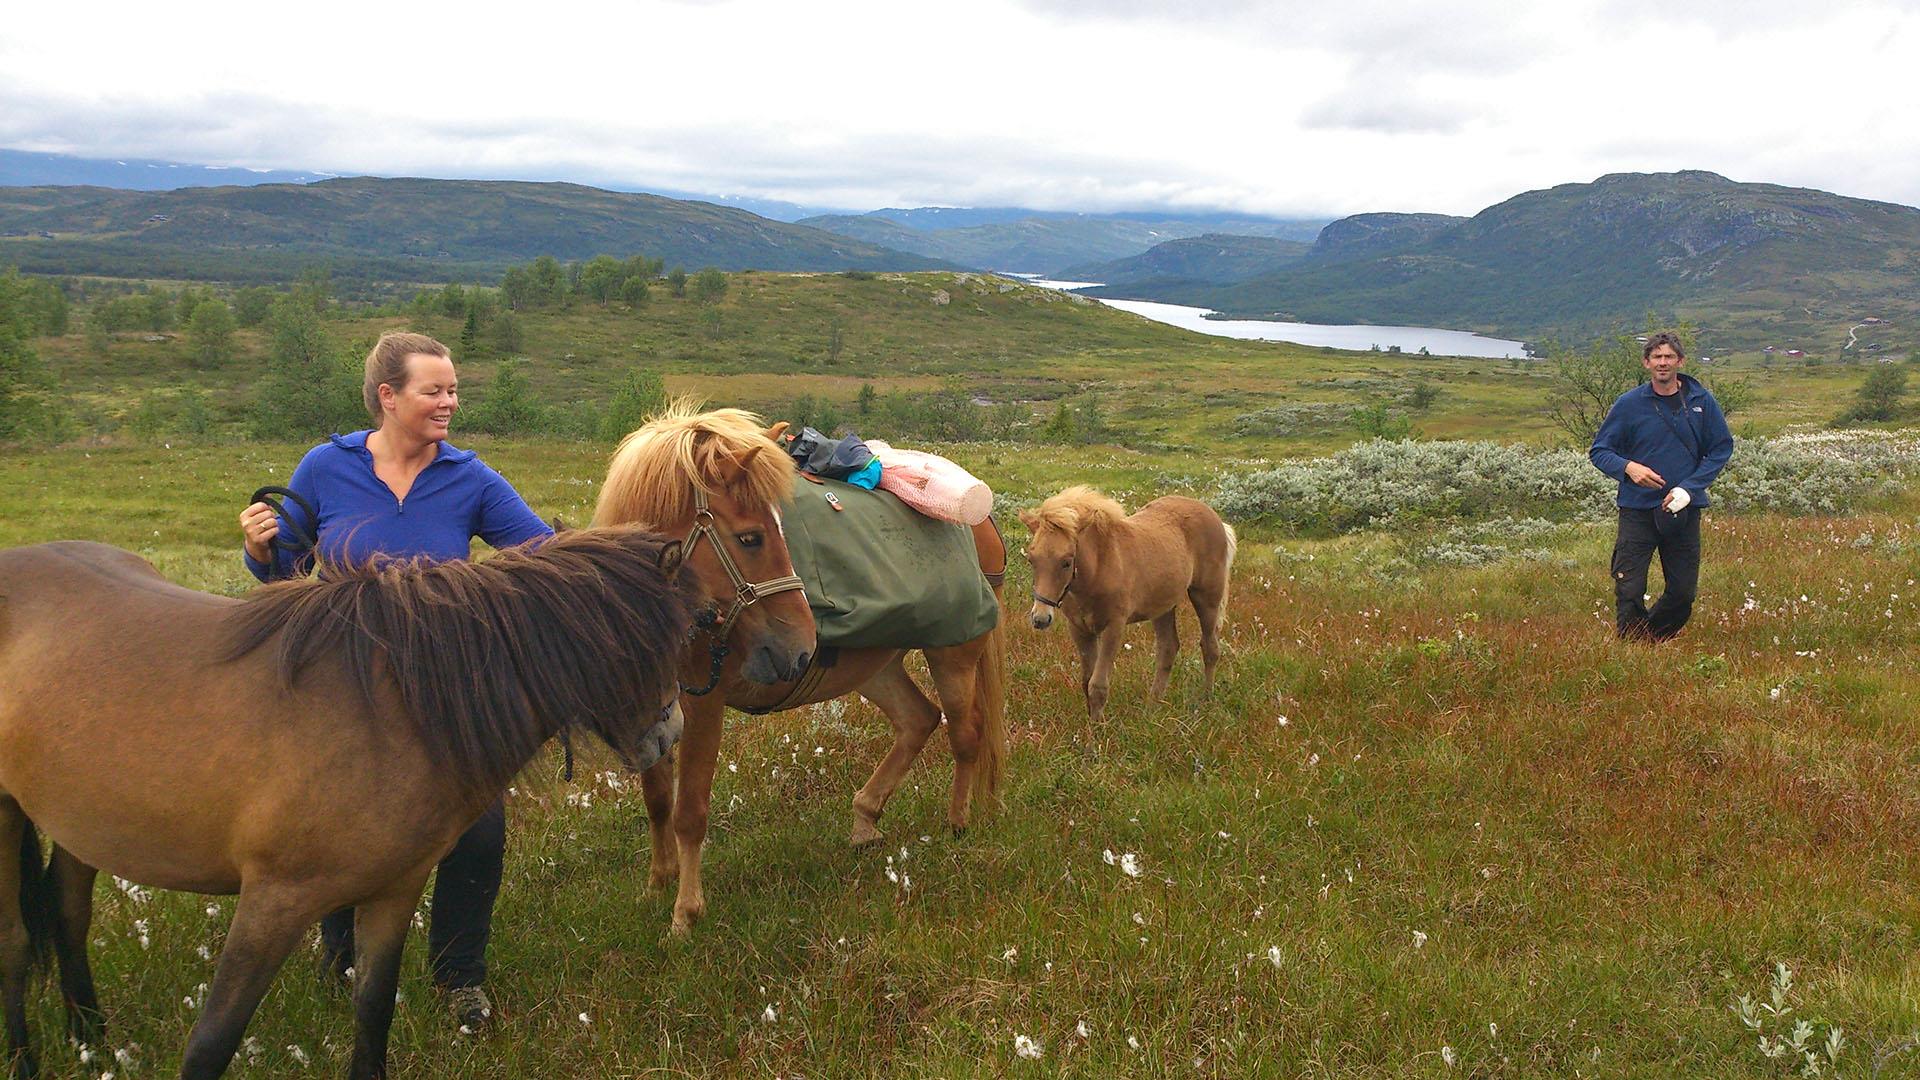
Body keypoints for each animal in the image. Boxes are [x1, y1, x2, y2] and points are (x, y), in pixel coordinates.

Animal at [0, 530, 698, 1076]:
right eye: (663, 636)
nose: (670, 735)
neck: (396, 707)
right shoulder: (273, 901)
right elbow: (211, 1043)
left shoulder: (393, 890)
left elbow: (372, 1012)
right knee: (15, 939)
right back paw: (26, 1061)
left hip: (84, 821)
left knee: (67, 911)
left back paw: (92, 1041)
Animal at [591, 403, 1013, 933]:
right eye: (750, 538)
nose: (802, 645)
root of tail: (984, 521)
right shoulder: (649, 705)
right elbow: (657, 800)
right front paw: (658, 884)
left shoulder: (703, 702)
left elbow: (689, 811)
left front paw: (685, 913)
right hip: (875, 667)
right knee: (918, 719)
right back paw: (865, 819)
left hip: (953, 654)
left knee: (965, 733)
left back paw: (956, 822)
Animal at [1013, 484, 1236, 718]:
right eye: (1031, 560)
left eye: (1066, 562)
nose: (1040, 619)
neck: (1099, 568)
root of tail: (1215, 517)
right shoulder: (1079, 629)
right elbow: (1086, 681)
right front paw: (1092, 724)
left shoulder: (1114, 626)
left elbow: (1098, 686)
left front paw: (1100, 727)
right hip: (1163, 606)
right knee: (1168, 649)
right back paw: (1152, 708)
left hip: (1207, 596)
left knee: (1210, 648)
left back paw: (1205, 699)